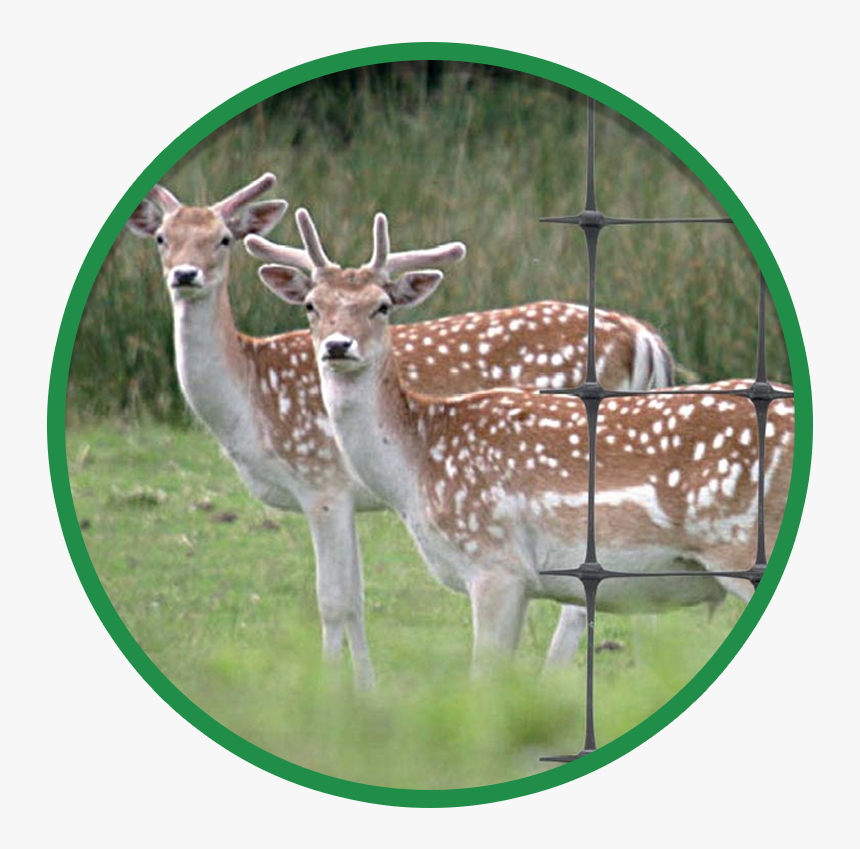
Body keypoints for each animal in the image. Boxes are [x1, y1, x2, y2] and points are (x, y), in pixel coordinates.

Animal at [125, 174, 676, 686]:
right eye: (162, 238)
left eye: (223, 238)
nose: (185, 275)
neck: (248, 405)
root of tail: (643, 336)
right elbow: (356, 596)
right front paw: (363, 687)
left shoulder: (320, 480)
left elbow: (335, 600)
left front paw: (337, 689)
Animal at [255, 207, 794, 670]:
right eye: (312, 306)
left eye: (382, 306)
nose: (337, 346)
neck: (417, 470)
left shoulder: (495, 564)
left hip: (743, 546)